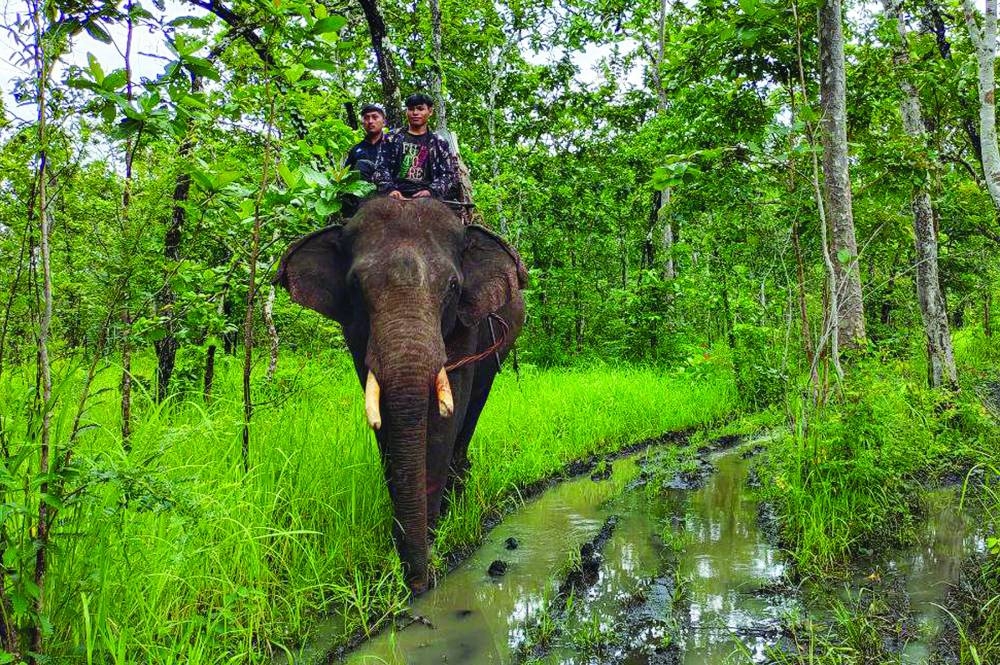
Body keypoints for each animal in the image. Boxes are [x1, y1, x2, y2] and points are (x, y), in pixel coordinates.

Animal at [275, 197, 527, 594]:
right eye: (356, 285)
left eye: (452, 285)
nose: (418, 584)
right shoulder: (357, 333)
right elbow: (383, 413)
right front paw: (403, 545)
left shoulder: (464, 324)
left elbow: (446, 415)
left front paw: (431, 539)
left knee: (473, 408)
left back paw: (459, 492)